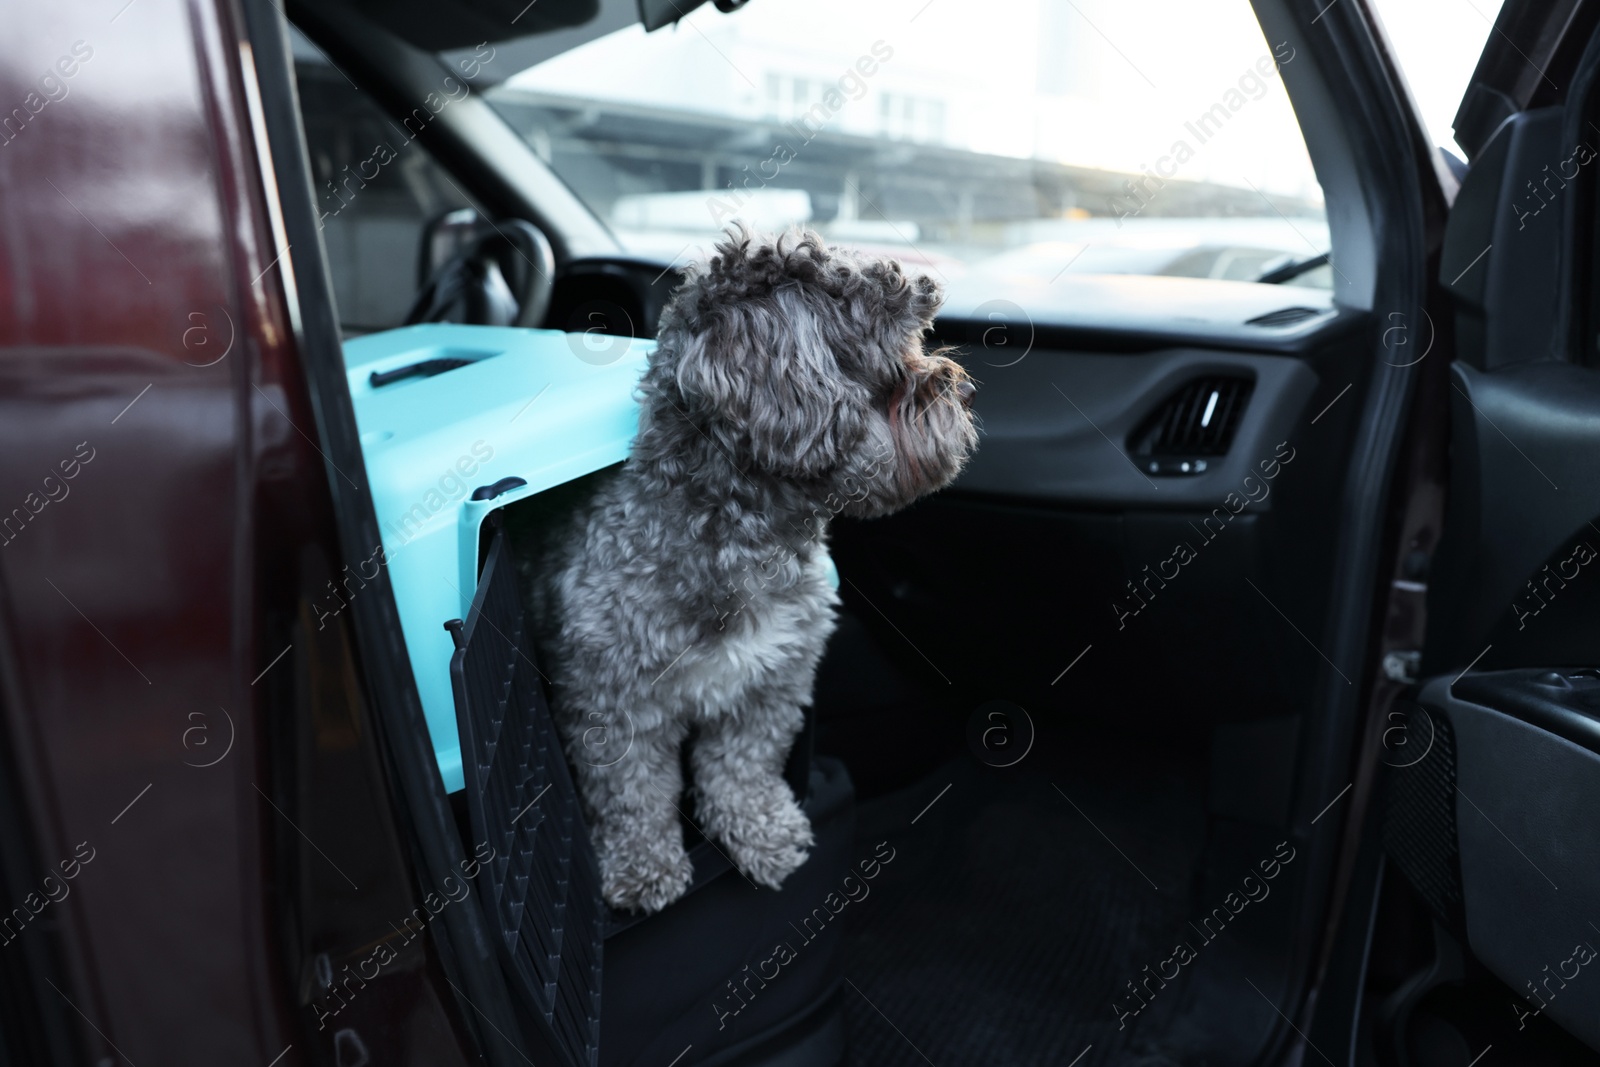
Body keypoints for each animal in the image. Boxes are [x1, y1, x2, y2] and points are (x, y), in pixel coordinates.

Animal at [518, 230, 979, 915]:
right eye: (890, 344)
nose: (960, 389)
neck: (742, 542)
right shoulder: (614, 701)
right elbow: (632, 792)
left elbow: (743, 768)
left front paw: (763, 832)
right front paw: (642, 866)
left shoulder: (769, 683)